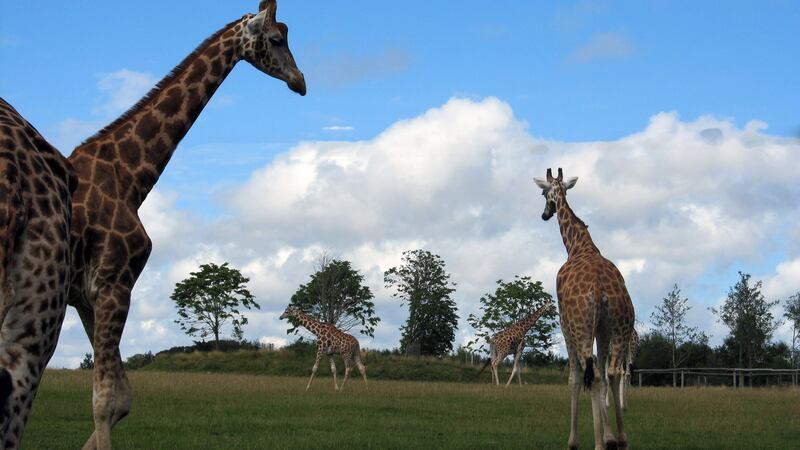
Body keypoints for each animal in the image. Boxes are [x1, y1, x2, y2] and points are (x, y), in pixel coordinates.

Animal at [65, 2, 305, 448]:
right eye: (277, 38)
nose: (301, 82)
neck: (130, 178)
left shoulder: (87, 297)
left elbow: (121, 398)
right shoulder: (112, 284)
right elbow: (104, 401)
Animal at [534, 168, 636, 450]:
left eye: (543, 193)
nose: (545, 214)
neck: (578, 245)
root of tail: (600, 291)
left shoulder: (565, 324)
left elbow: (575, 379)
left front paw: (575, 440)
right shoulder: (601, 328)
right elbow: (602, 371)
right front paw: (609, 435)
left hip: (580, 329)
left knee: (592, 374)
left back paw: (601, 442)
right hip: (620, 327)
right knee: (610, 372)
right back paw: (620, 439)